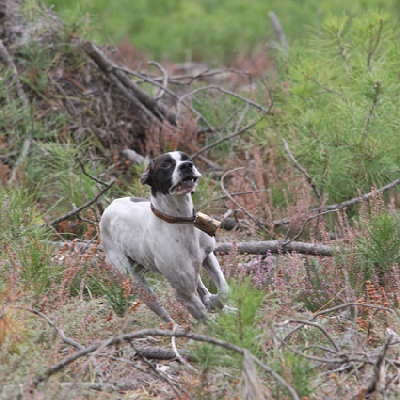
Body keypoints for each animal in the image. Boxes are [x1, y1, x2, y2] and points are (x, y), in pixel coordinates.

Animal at [100, 150, 230, 322]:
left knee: (202, 288)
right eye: (166, 165)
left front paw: (214, 302)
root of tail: (110, 206)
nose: (187, 166)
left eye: (187, 159)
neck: (181, 221)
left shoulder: (208, 257)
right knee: (165, 315)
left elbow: (224, 291)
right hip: (138, 284)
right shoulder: (185, 295)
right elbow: (209, 322)